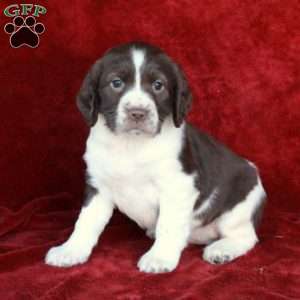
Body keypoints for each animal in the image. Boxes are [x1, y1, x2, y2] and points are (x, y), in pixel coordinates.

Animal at [45, 41, 266, 274]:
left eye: (158, 85)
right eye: (116, 83)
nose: (137, 113)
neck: (131, 145)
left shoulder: (178, 186)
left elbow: (167, 225)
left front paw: (159, 257)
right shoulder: (98, 186)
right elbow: (85, 222)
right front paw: (70, 250)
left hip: (239, 209)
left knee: (246, 236)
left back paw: (222, 250)